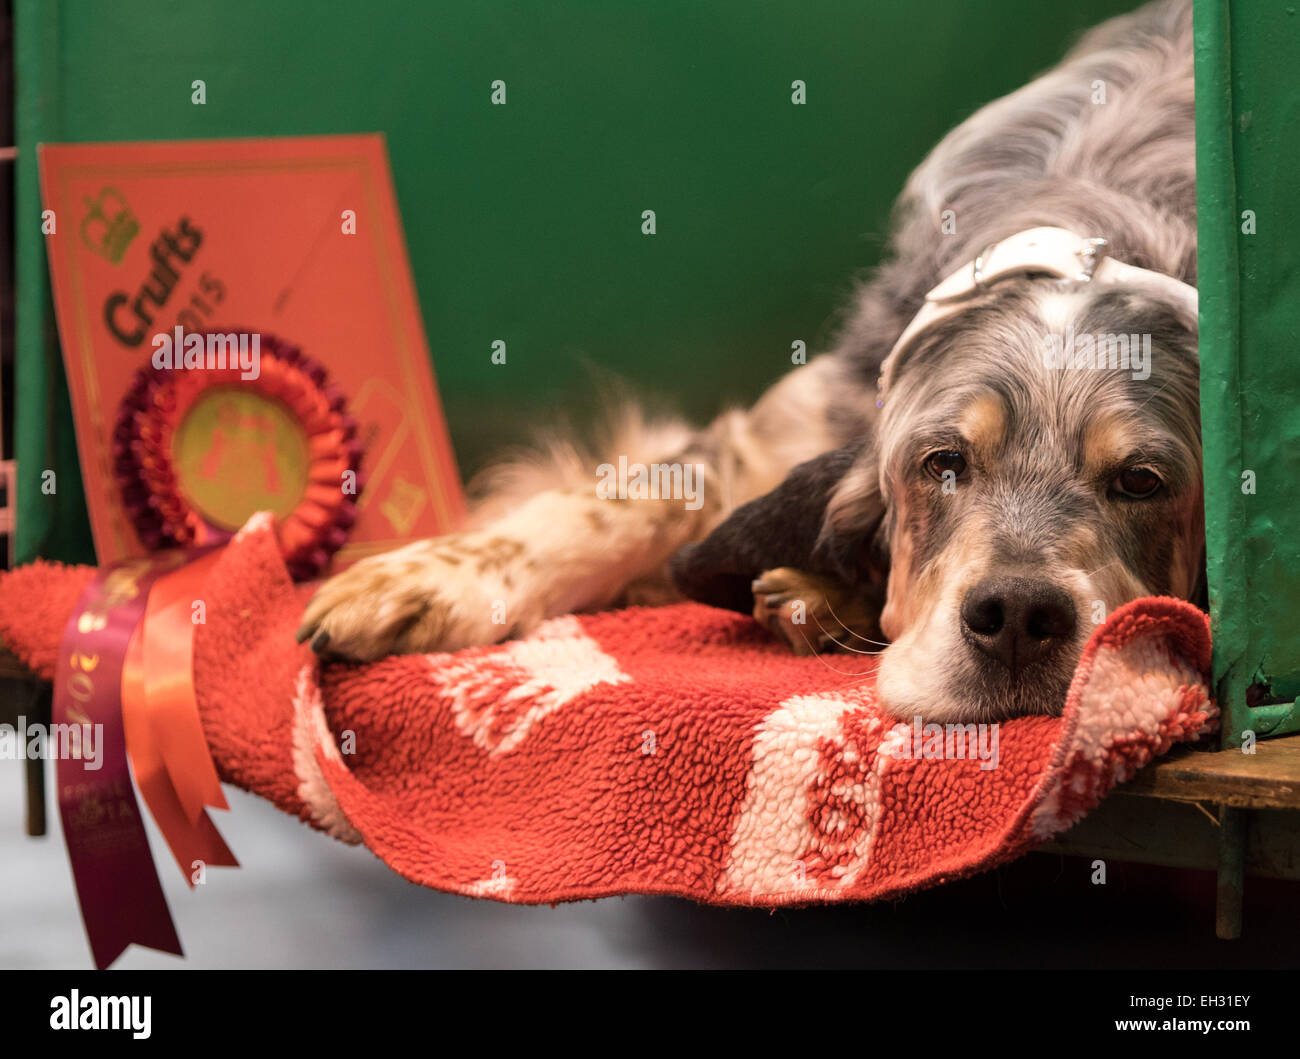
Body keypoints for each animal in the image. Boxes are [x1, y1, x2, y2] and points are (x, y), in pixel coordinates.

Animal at [299, 0, 1201, 722]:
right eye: (942, 462)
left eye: (1141, 481)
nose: (1016, 615)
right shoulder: (778, 431)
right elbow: (613, 501)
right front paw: (425, 578)